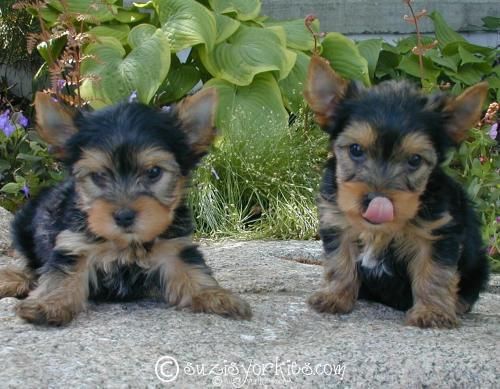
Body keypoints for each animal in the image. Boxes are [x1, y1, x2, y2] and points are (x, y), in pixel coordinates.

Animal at [0, 88, 250, 324]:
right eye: (99, 176)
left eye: (154, 172)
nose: (124, 216)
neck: (126, 243)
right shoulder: (73, 243)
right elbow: (61, 276)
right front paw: (46, 304)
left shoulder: (174, 246)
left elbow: (192, 270)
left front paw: (216, 295)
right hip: (24, 226)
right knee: (31, 267)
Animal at [304, 55, 488, 328]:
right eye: (356, 149)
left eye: (414, 160)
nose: (375, 200)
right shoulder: (337, 219)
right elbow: (339, 260)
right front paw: (335, 296)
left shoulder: (438, 232)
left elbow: (435, 271)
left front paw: (432, 311)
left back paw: (458, 304)